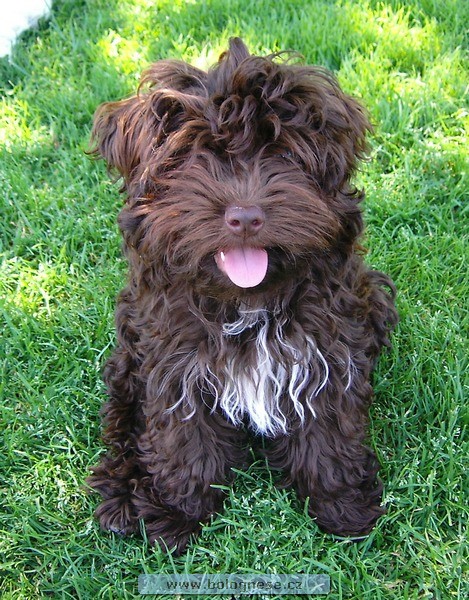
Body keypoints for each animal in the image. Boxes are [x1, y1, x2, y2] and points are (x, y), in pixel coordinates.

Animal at [87, 38, 397, 554]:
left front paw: (341, 505)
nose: (246, 216)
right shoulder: (173, 360)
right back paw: (123, 493)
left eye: (283, 153)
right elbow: (182, 437)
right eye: (193, 156)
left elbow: (329, 427)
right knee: (124, 414)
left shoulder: (328, 345)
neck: (245, 302)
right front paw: (176, 513)